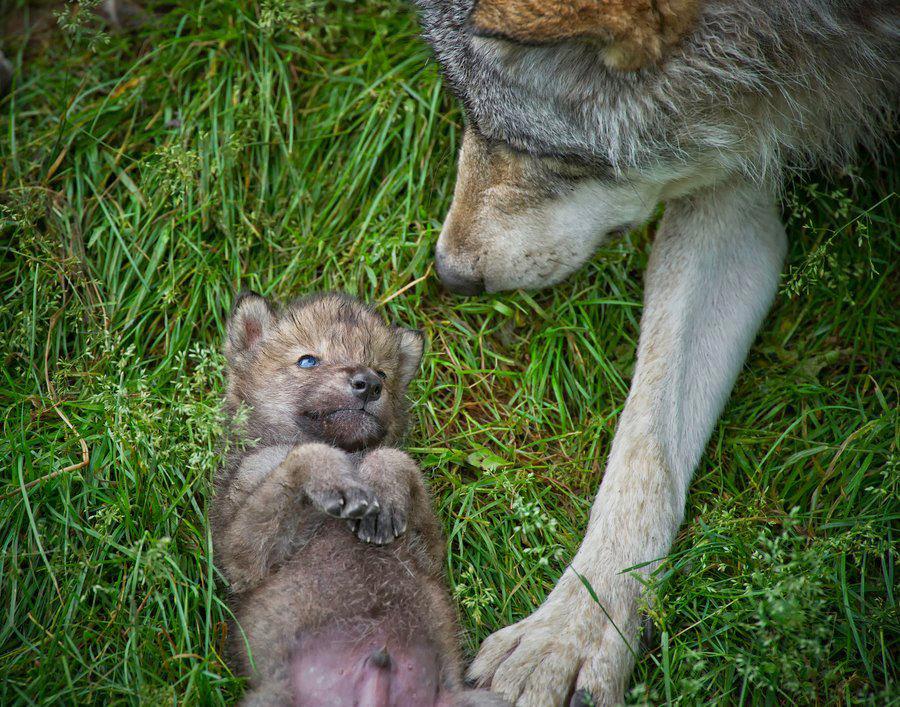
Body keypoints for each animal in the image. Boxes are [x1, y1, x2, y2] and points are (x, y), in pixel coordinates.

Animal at [418, 0, 896, 704]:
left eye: (555, 160)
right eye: (466, 116)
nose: (449, 275)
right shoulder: (737, 167)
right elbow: (645, 444)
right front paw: (571, 632)